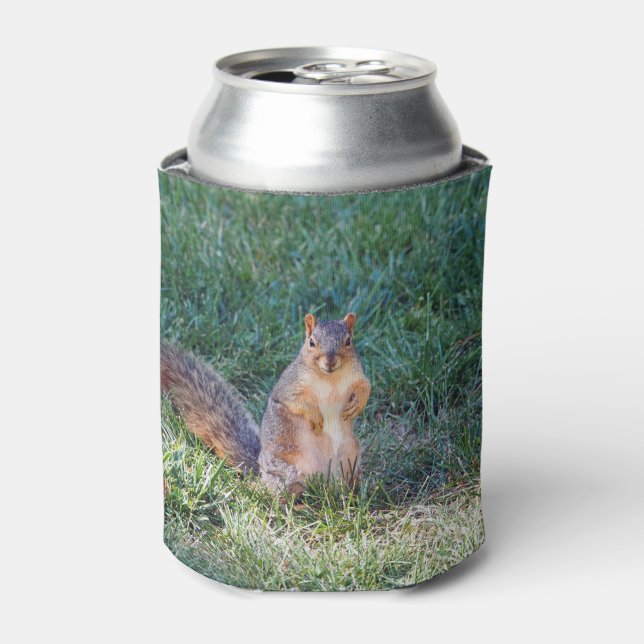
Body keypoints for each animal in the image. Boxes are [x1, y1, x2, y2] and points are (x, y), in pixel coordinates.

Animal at [161, 312, 371, 496]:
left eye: (348, 341)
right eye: (311, 342)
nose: (330, 362)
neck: (330, 378)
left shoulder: (356, 375)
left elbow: (365, 386)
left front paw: (358, 403)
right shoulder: (289, 385)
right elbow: (293, 400)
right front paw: (314, 416)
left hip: (351, 457)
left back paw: (355, 491)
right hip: (288, 473)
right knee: (279, 495)